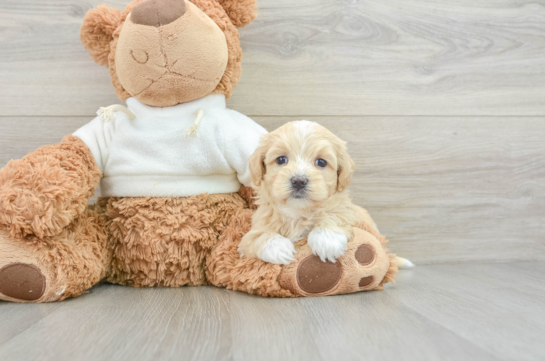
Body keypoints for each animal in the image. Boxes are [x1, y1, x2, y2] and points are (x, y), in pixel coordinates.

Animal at [238, 121, 378, 264]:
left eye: (321, 162)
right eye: (281, 159)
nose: (299, 181)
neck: (298, 211)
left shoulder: (350, 212)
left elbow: (336, 214)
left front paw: (326, 239)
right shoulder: (253, 230)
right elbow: (256, 236)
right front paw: (278, 247)